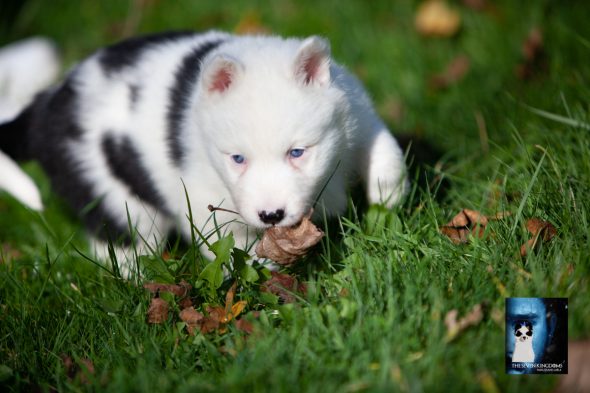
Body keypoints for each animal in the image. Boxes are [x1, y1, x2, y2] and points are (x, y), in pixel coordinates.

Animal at [0, 31, 408, 270]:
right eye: (237, 159)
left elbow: (384, 150)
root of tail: (46, 105)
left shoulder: (355, 111)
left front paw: (387, 198)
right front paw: (262, 276)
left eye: (297, 152)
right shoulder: (203, 202)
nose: (271, 215)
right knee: (119, 246)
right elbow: (230, 248)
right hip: (115, 200)